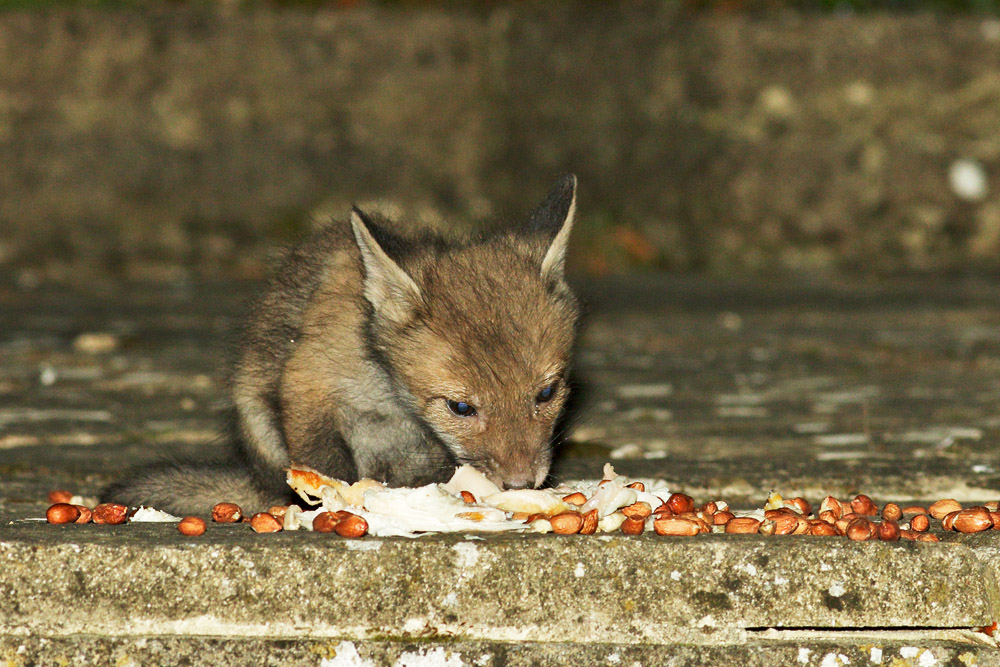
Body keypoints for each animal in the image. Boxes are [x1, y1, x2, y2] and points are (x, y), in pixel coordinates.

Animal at [103, 175, 581, 515]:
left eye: (546, 393)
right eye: (461, 408)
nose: (522, 484)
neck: (391, 397)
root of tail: (257, 479)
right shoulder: (309, 381)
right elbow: (324, 463)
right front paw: (339, 507)